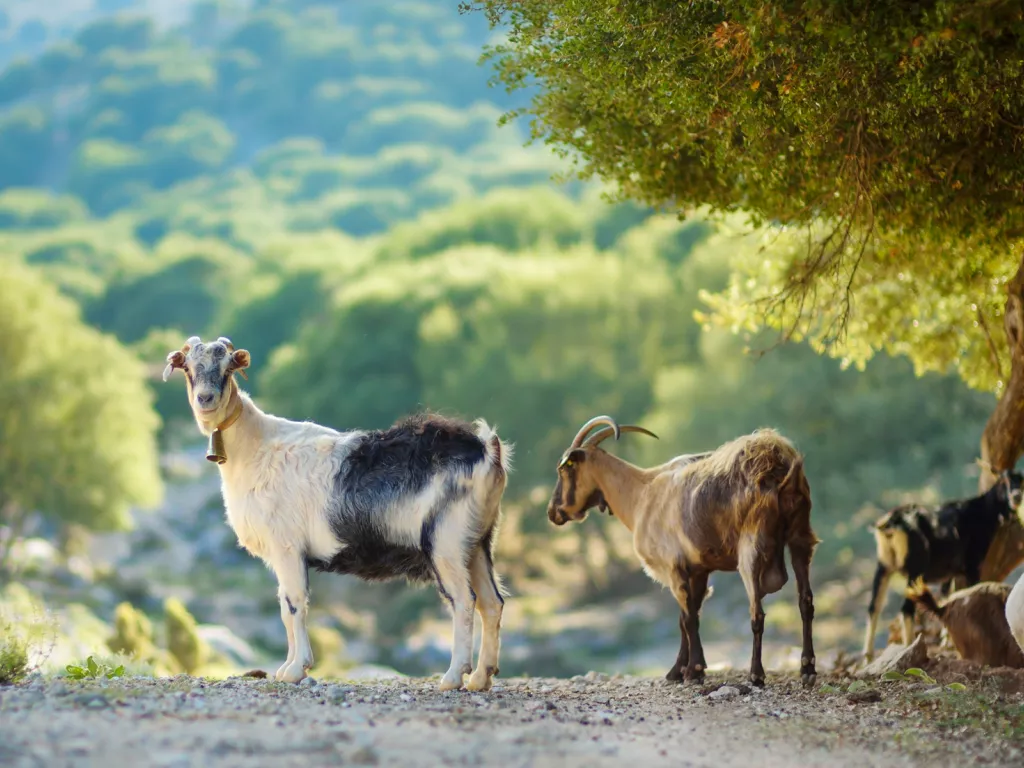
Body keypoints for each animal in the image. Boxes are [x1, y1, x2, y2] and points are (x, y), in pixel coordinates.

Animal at [162, 335, 512, 692]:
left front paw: (296, 670)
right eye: (188, 369)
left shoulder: (286, 546)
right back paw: (481, 677)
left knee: (464, 600)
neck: (255, 447)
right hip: (477, 541)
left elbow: (294, 603)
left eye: (228, 367)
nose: (205, 399)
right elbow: (284, 606)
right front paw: (286, 668)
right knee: (491, 602)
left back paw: (454, 677)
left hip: (446, 543)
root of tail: (487, 449)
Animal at [548, 417, 819, 688]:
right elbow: (688, 617)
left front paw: (694, 670)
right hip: (800, 536)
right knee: (805, 601)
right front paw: (680, 670)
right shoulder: (698, 569)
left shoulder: (672, 567)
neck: (641, 494)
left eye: (565, 470)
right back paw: (807, 669)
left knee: (757, 614)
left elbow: (688, 619)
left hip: (751, 549)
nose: (553, 512)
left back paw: (756, 674)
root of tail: (778, 463)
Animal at [864, 468, 1024, 663]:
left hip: (883, 567)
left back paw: (867, 658)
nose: (1016, 496)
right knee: (906, 608)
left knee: (874, 607)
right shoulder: (971, 565)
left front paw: (945, 639)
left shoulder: (951, 573)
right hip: (915, 567)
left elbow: (946, 596)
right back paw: (909, 645)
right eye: (1003, 481)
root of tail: (891, 523)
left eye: (1021, 481)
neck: (981, 511)